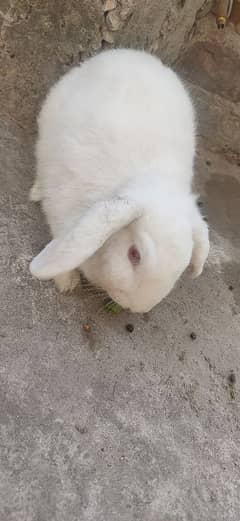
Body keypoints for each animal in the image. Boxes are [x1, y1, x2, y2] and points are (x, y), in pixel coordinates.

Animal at [30, 47, 209, 312]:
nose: (136, 307)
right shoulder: (60, 207)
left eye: (182, 266)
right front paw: (66, 282)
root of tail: (131, 53)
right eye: (134, 254)